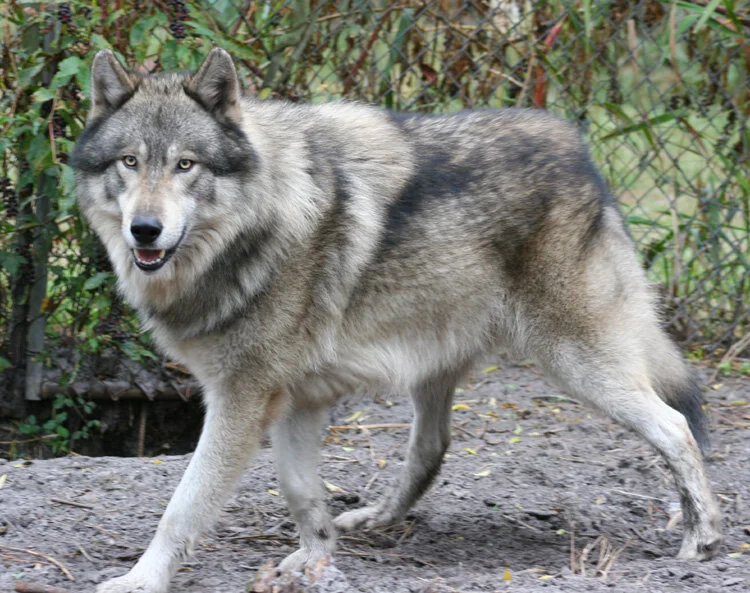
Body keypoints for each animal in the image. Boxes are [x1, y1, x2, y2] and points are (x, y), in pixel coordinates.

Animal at [72, 48, 722, 592]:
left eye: (186, 165)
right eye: (130, 162)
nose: (145, 230)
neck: (259, 222)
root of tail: (582, 153)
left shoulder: (242, 398)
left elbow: (183, 506)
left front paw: (139, 581)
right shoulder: (296, 399)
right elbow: (302, 493)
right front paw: (315, 560)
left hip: (579, 365)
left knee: (675, 427)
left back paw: (703, 537)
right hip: (438, 367)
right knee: (432, 448)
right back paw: (374, 517)